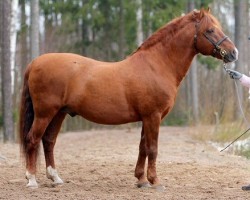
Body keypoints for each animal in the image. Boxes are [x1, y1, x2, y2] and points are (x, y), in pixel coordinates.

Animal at [18, 8, 237, 189]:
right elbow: (152, 148)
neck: (156, 65)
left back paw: (55, 178)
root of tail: (35, 62)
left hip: (59, 114)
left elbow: (142, 148)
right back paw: (31, 180)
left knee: (48, 141)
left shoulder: (147, 118)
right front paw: (155, 181)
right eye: (210, 30)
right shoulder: (153, 116)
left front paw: (141, 180)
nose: (233, 53)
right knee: (33, 139)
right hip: (45, 113)